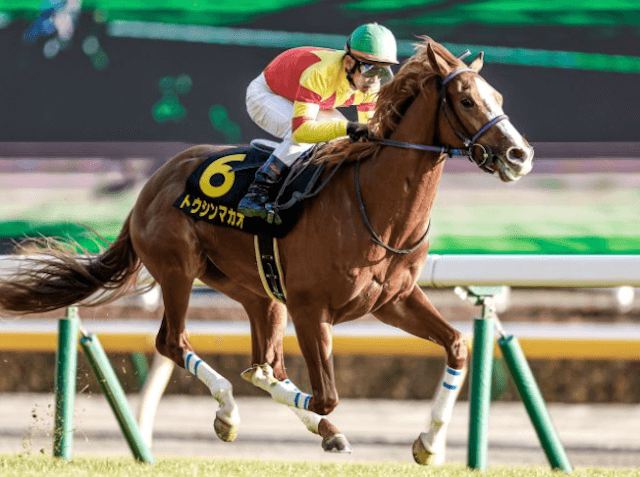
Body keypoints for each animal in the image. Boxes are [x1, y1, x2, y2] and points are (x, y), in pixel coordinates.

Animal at [0, 39, 528, 462]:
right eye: (466, 100)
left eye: (499, 99)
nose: (520, 155)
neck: (376, 209)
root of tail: (150, 187)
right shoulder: (311, 308)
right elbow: (324, 394)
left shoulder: (393, 300)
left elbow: (456, 345)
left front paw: (429, 443)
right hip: (178, 269)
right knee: (173, 342)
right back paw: (230, 413)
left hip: (257, 292)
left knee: (263, 354)